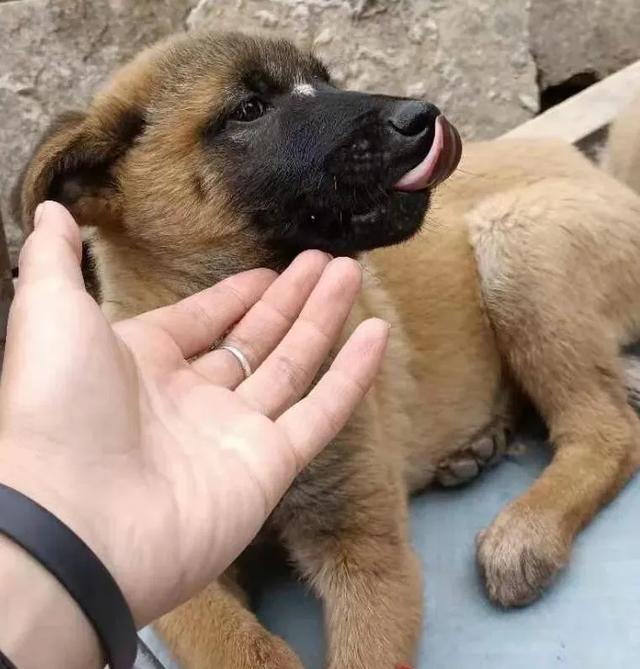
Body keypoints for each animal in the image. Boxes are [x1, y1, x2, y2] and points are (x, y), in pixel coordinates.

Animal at [15, 30, 640, 668]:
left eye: (327, 80)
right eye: (249, 109)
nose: (423, 117)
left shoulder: (364, 543)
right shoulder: (181, 574)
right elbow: (234, 644)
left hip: (516, 240)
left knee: (610, 430)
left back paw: (526, 530)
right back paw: (478, 446)